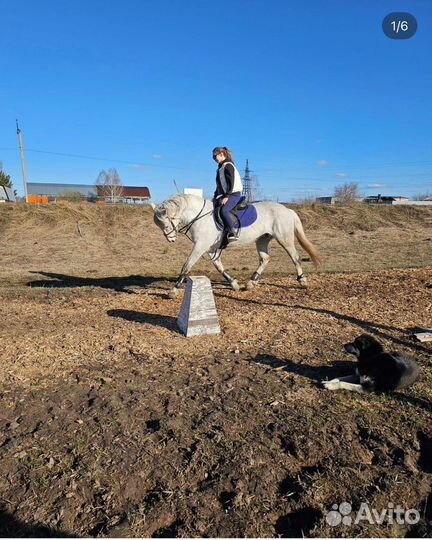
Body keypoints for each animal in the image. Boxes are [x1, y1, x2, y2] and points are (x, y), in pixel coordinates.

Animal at [153, 193, 320, 296]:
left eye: (166, 224)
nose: (171, 239)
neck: (199, 216)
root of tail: (287, 209)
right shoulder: (210, 248)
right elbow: (219, 266)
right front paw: (234, 284)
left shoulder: (200, 246)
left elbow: (186, 265)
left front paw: (173, 291)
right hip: (262, 239)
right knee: (265, 259)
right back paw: (251, 283)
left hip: (284, 239)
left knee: (295, 257)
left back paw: (302, 281)